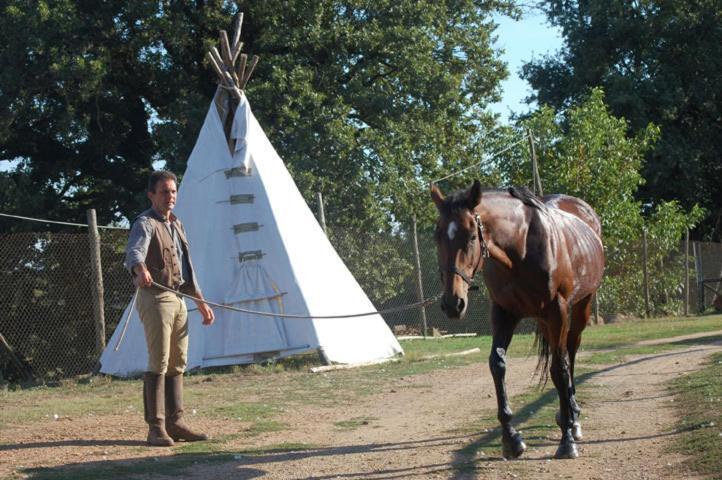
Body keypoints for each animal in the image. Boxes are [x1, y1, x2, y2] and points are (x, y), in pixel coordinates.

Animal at [430, 181, 604, 462]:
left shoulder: (558, 311)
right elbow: (497, 364)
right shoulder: (504, 313)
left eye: (471, 236)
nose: (453, 303)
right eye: (437, 237)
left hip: (580, 309)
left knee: (570, 353)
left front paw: (566, 439)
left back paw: (573, 417)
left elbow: (560, 368)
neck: (520, 249)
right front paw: (511, 438)